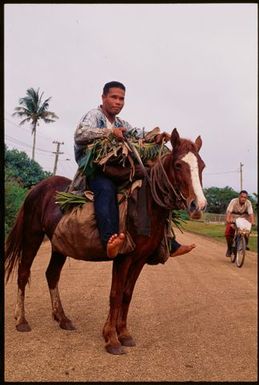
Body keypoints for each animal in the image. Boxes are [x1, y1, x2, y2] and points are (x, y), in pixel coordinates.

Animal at [4, 128, 207, 354]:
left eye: (202, 166)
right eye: (179, 165)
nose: (198, 205)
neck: (144, 207)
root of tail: (37, 188)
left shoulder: (140, 259)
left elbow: (126, 294)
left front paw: (124, 333)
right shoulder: (123, 257)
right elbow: (115, 294)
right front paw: (111, 338)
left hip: (59, 245)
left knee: (52, 275)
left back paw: (62, 318)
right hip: (32, 235)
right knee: (23, 273)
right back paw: (21, 320)